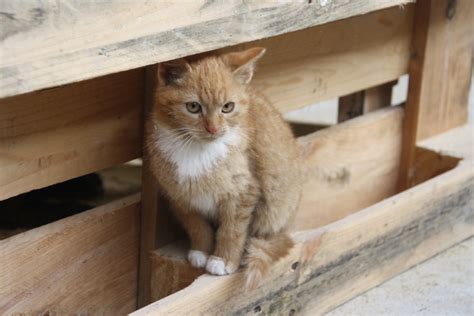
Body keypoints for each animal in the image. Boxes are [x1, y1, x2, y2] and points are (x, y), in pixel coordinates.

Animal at [146, 47, 302, 288]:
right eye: (193, 106)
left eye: (227, 107)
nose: (213, 128)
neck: (197, 150)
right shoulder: (180, 197)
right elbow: (197, 226)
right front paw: (200, 251)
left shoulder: (243, 193)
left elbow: (232, 230)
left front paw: (223, 260)